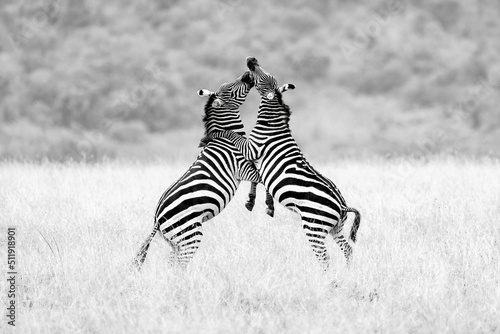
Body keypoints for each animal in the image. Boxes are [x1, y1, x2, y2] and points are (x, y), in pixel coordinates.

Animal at [133, 70, 280, 268]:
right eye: (230, 89)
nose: (247, 74)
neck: (227, 136)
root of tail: (157, 218)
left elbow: (260, 178)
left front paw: (253, 201)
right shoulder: (241, 167)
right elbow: (262, 178)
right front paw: (266, 204)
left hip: (175, 241)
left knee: (172, 264)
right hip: (190, 234)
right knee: (180, 265)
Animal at [209, 56, 362, 268]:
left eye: (263, 79)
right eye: (266, 73)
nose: (251, 60)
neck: (271, 124)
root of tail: (342, 205)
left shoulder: (252, 148)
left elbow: (232, 135)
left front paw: (214, 134)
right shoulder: (253, 155)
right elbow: (256, 177)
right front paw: (255, 201)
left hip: (314, 226)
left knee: (325, 258)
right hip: (335, 228)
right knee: (347, 249)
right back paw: (348, 272)